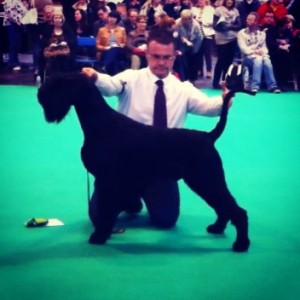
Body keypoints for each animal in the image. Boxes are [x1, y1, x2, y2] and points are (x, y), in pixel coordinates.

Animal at [38, 74, 252, 252]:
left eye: (58, 84)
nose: (40, 93)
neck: (100, 123)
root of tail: (208, 136)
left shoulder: (107, 181)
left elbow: (106, 210)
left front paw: (99, 237)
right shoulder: (108, 182)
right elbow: (105, 209)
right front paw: (104, 233)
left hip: (207, 180)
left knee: (236, 209)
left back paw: (241, 244)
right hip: (204, 182)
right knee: (223, 206)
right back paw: (217, 228)